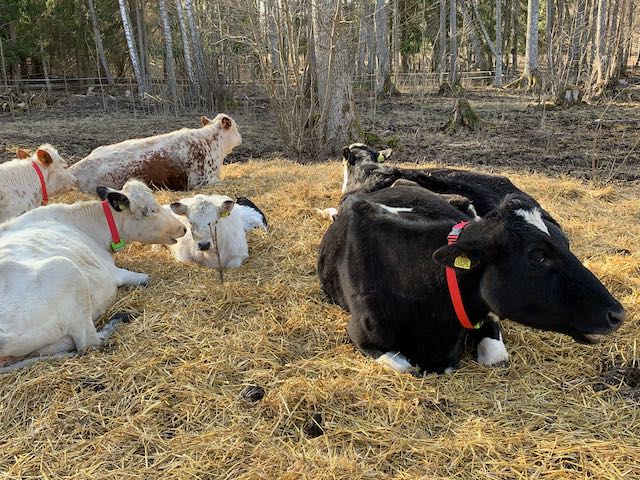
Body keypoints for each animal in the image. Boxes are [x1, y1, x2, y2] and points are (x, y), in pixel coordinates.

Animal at [0, 180, 189, 372]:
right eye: (153, 210)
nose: (183, 228)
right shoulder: (114, 272)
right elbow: (146, 278)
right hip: (68, 272)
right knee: (89, 343)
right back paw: (118, 319)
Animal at [318, 186, 624, 374]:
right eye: (537, 256)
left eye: (565, 243)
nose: (617, 314)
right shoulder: (364, 335)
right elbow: (405, 366)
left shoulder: (486, 312)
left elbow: (496, 358)